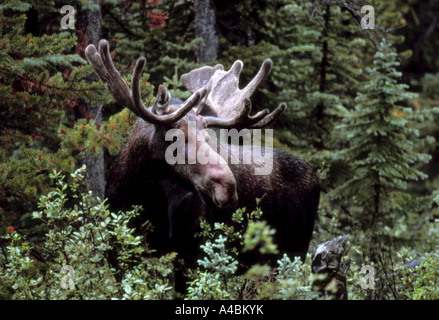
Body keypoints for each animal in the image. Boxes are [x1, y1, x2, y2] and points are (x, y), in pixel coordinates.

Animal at [85, 40, 320, 292]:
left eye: (208, 139)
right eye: (175, 138)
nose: (228, 188)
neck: (142, 196)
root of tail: (315, 176)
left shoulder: (192, 254)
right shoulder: (117, 251)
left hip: (293, 252)